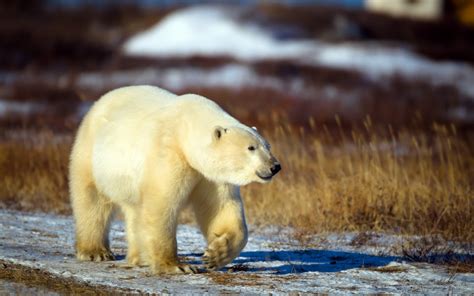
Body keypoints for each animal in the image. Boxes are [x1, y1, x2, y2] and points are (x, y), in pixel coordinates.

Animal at [68, 84, 280, 274]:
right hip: (91, 154)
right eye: (251, 148)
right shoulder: (168, 152)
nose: (275, 166)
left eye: (268, 145)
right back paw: (95, 252)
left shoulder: (211, 175)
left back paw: (140, 258)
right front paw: (177, 266)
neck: (186, 129)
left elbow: (221, 207)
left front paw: (215, 254)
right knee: (92, 201)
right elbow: (161, 205)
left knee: (135, 210)